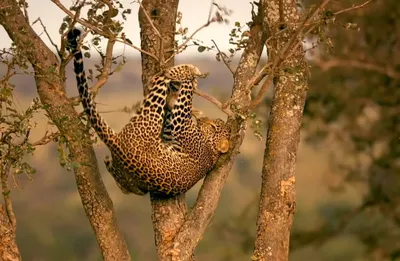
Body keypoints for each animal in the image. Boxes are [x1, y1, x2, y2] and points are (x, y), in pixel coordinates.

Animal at [67, 27, 230, 195]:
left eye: (213, 127)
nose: (204, 120)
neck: (211, 151)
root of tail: (119, 145)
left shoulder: (181, 125)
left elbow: (186, 96)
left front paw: (189, 76)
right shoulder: (171, 130)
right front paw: (191, 102)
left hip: (153, 111)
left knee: (159, 79)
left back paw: (178, 71)